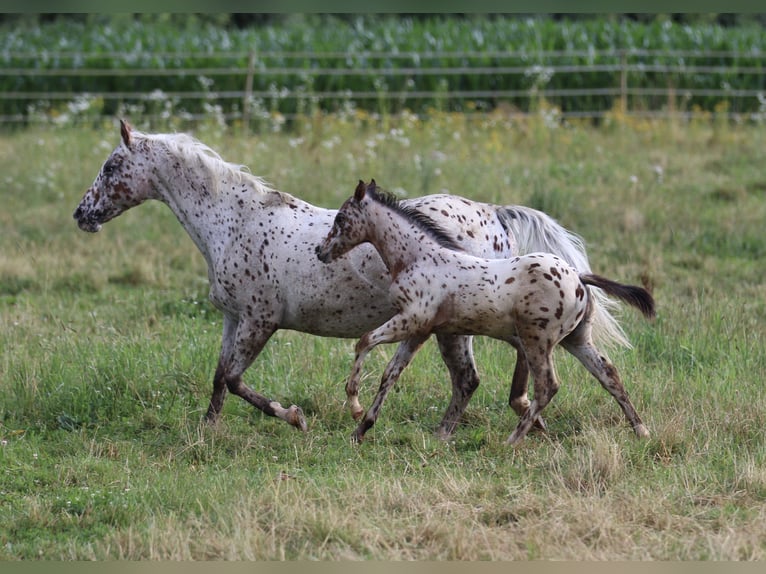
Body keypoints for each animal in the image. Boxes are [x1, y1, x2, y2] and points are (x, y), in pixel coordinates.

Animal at [73, 120, 632, 436]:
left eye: (110, 166)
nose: (81, 215)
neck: (233, 220)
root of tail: (493, 213)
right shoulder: (234, 318)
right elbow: (218, 378)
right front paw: (206, 434)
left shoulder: (259, 320)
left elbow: (234, 379)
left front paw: (294, 417)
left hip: (458, 325)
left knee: (476, 376)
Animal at [316, 180, 656, 446]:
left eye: (341, 218)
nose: (321, 251)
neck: (419, 256)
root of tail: (578, 277)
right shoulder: (420, 331)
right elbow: (390, 373)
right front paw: (361, 428)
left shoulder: (411, 320)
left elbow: (364, 341)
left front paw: (355, 406)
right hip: (576, 339)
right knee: (608, 374)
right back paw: (641, 430)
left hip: (537, 340)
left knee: (547, 385)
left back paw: (512, 440)